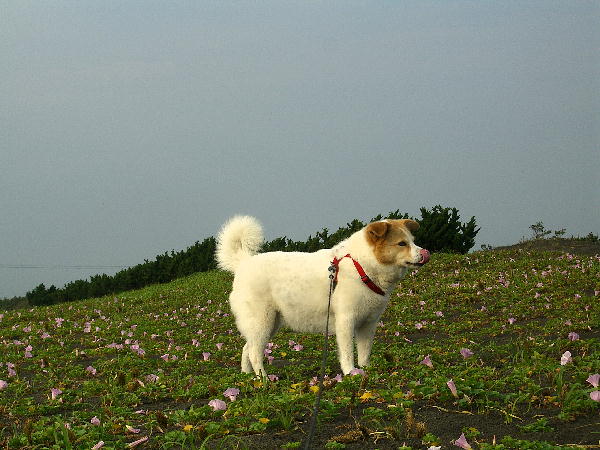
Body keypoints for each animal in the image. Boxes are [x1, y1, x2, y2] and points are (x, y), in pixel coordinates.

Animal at [213, 216, 428, 374]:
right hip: (262, 322)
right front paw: (351, 374)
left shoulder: (368, 324)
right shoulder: (346, 321)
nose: (425, 252)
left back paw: (248, 377)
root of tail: (243, 263)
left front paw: (366, 370)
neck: (361, 266)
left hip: (269, 324)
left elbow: (364, 353)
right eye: (401, 244)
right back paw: (264, 380)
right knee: (254, 353)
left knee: (246, 349)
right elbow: (348, 353)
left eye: (412, 241)